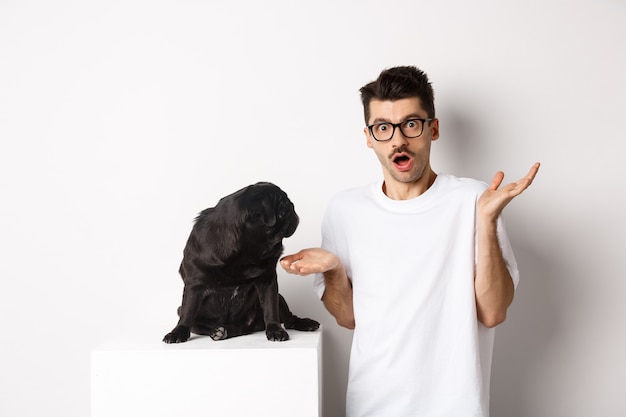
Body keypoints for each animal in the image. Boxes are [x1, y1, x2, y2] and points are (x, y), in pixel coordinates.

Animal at [162, 180, 316, 342]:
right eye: (283, 211)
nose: (293, 210)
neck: (246, 252)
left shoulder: (268, 281)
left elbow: (270, 308)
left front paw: (275, 330)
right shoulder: (194, 284)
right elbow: (187, 312)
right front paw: (178, 332)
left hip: (280, 299)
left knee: (288, 318)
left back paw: (304, 323)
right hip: (187, 312)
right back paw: (221, 331)